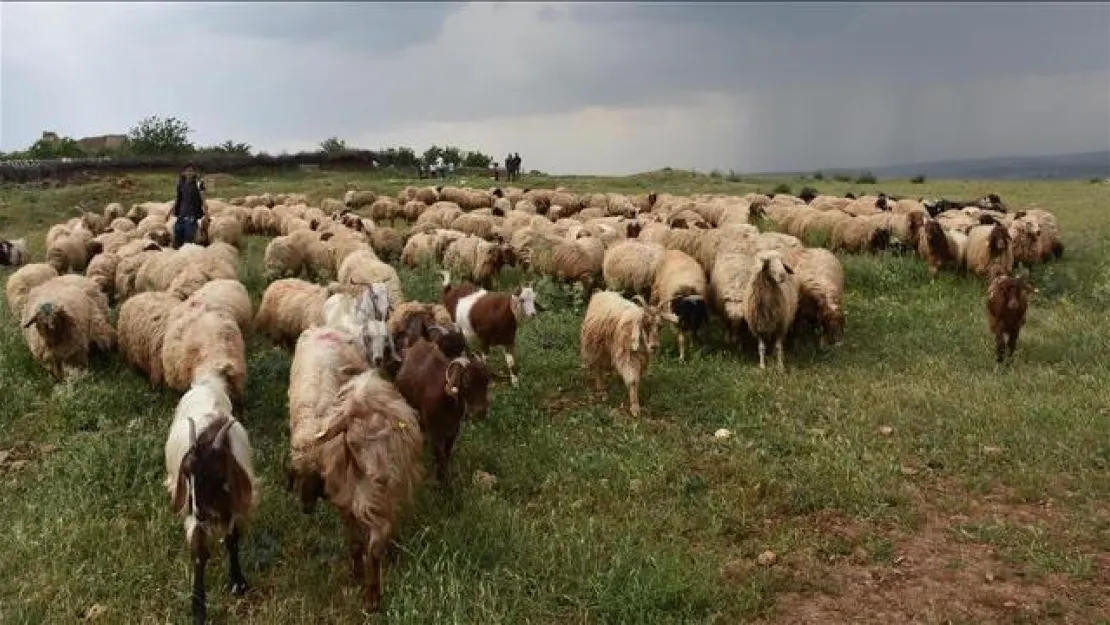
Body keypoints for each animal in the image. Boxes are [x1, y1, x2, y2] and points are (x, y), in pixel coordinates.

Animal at [162, 370, 255, 625]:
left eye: (218, 475)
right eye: (187, 474)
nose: (201, 512)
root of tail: (207, 383)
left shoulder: (235, 508)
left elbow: (233, 540)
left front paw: (238, 582)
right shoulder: (193, 516)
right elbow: (199, 552)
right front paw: (198, 609)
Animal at [286, 330, 424, 612]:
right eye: (354, 443)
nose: (306, 508)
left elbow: (369, 545)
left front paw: (369, 591)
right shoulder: (354, 502)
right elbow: (359, 543)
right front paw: (362, 580)